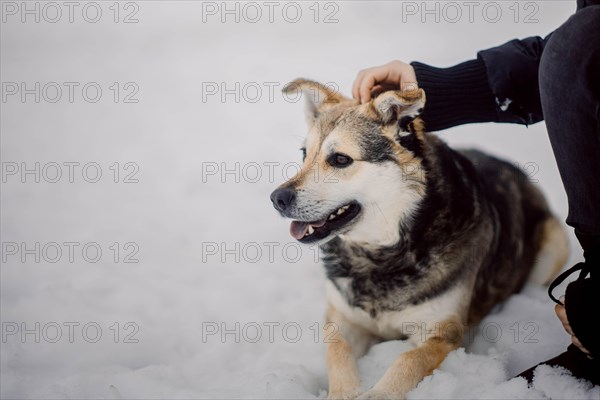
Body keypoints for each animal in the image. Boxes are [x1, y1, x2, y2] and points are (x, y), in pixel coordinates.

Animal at [270, 79, 568, 398]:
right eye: (304, 154)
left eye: (340, 159)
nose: (277, 198)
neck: (379, 253)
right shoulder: (341, 319)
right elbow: (337, 351)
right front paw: (344, 392)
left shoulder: (441, 332)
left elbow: (409, 359)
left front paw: (378, 394)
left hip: (554, 242)